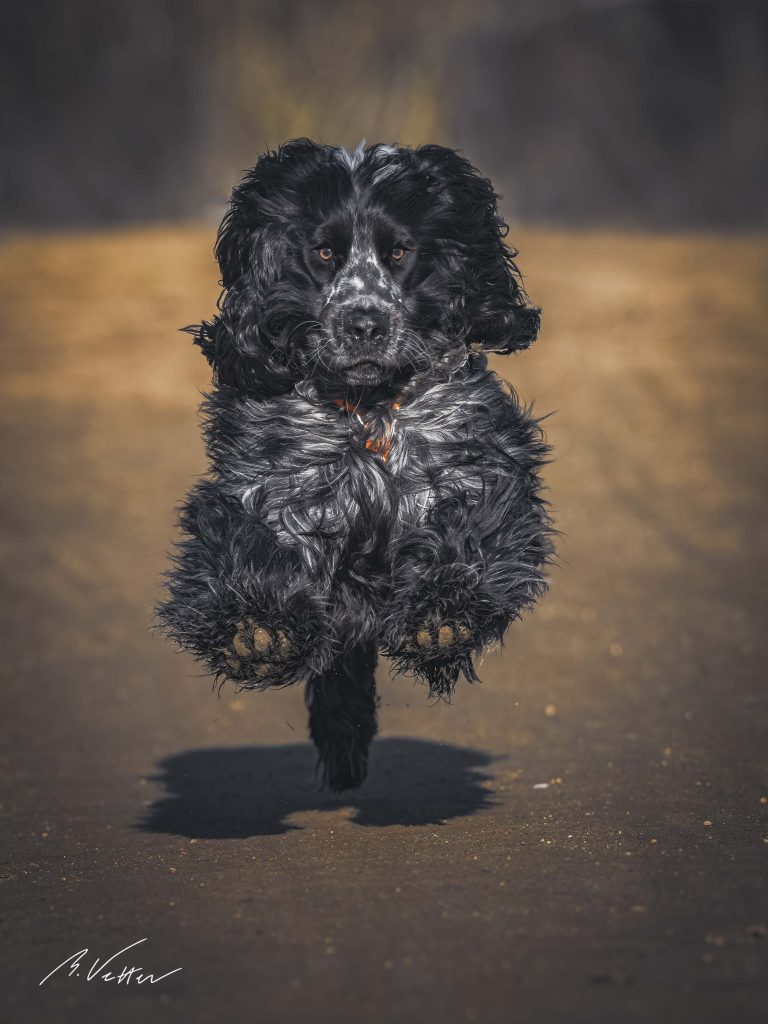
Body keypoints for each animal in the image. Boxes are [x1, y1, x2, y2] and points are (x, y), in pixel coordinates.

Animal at [157, 136, 552, 790]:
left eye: (399, 253)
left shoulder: (469, 468)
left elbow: (469, 535)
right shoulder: (280, 491)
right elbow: (253, 550)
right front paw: (255, 633)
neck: (368, 411)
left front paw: (440, 620)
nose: (363, 322)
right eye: (323, 252)